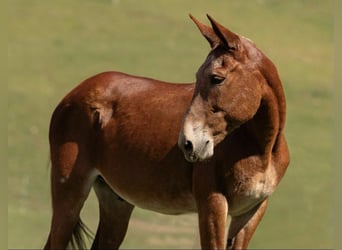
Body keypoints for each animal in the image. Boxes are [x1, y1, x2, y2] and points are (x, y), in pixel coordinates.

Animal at [43, 14, 288, 249]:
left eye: (217, 78)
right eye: (197, 77)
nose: (188, 144)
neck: (259, 148)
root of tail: (73, 95)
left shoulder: (251, 211)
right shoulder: (212, 204)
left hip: (115, 202)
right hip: (69, 196)